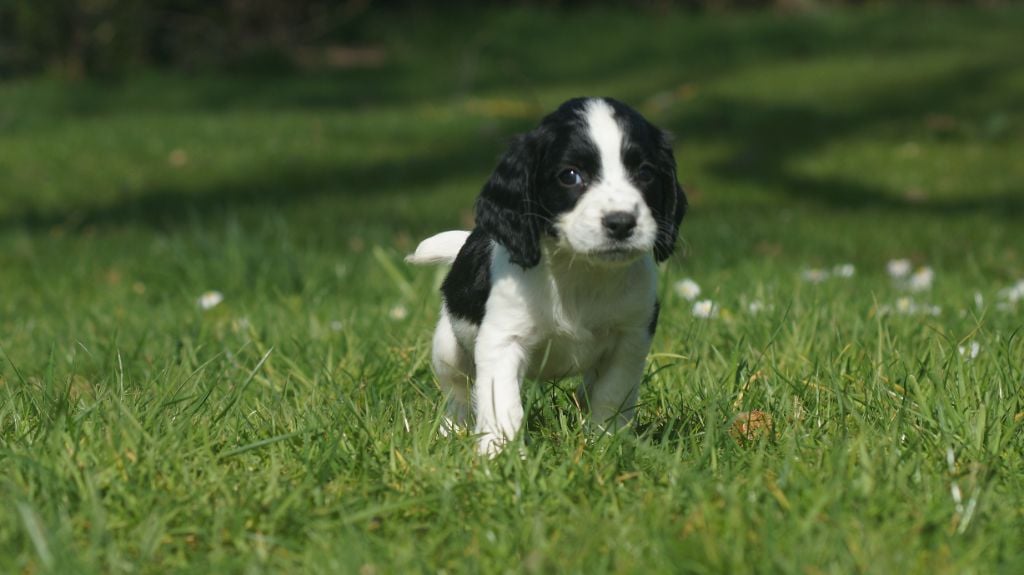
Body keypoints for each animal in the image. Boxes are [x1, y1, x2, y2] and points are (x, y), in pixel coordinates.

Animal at [407, 97, 687, 455]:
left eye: (646, 173)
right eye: (570, 176)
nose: (621, 222)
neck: (577, 272)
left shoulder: (631, 337)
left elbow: (612, 394)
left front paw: (605, 442)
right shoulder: (503, 339)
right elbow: (501, 404)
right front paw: (500, 456)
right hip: (447, 350)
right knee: (457, 393)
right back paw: (451, 432)